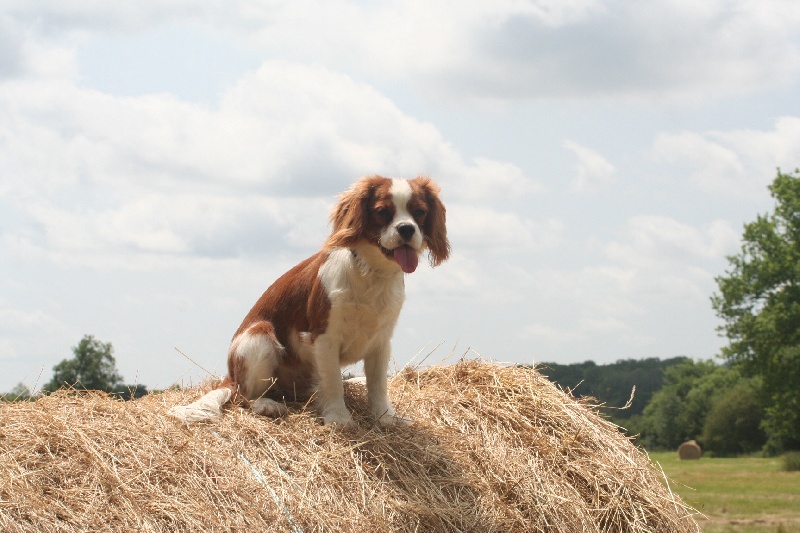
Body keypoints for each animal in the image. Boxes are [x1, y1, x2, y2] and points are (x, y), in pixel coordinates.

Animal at [169, 177, 446, 426]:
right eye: (383, 212)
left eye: (419, 212)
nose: (407, 229)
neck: (370, 271)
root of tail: (230, 376)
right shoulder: (323, 336)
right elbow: (333, 381)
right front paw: (338, 418)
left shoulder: (380, 341)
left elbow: (378, 385)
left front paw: (386, 418)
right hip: (260, 337)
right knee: (242, 397)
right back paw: (267, 405)